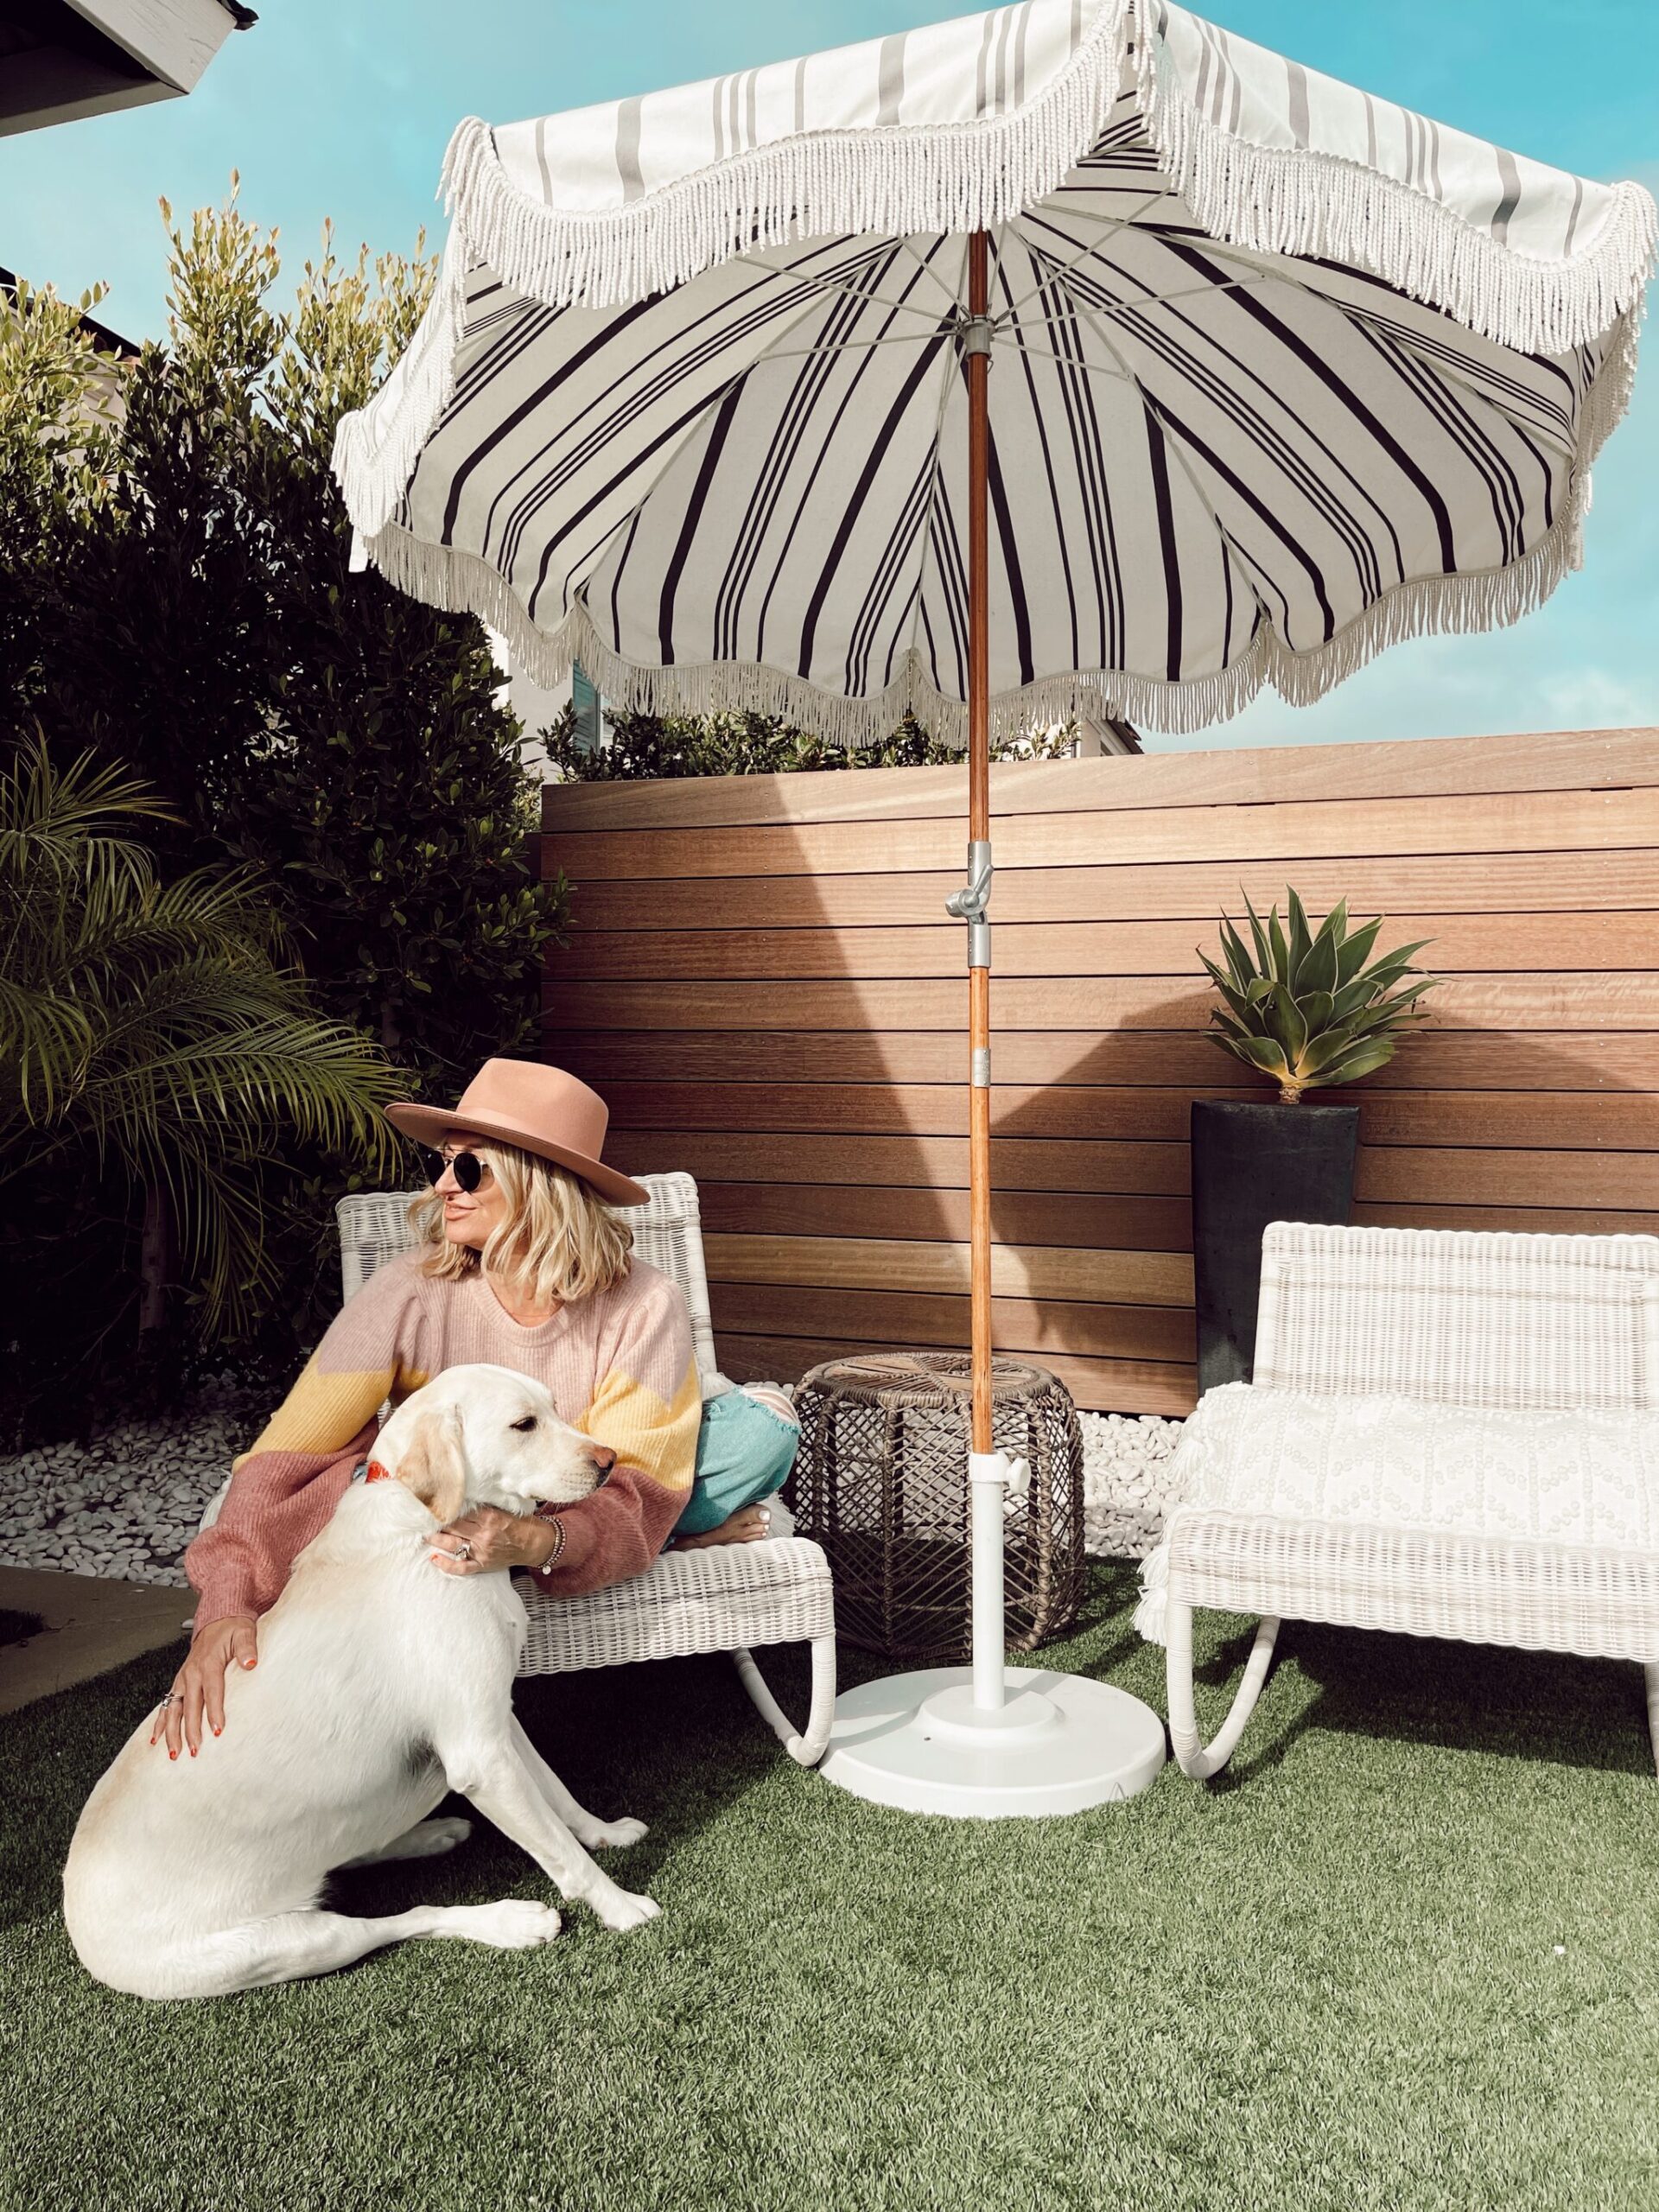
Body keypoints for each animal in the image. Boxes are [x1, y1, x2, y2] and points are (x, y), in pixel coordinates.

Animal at [65, 1362, 664, 2008]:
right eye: (523, 1424)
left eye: (553, 1407)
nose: (610, 1460)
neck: (426, 1526)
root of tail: (75, 1917)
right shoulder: (480, 1754)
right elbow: (561, 1852)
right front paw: (620, 1906)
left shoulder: (496, 1719)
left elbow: (558, 1796)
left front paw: (604, 1832)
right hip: (291, 1945)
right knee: (407, 1919)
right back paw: (509, 1919)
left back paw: (431, 1834)